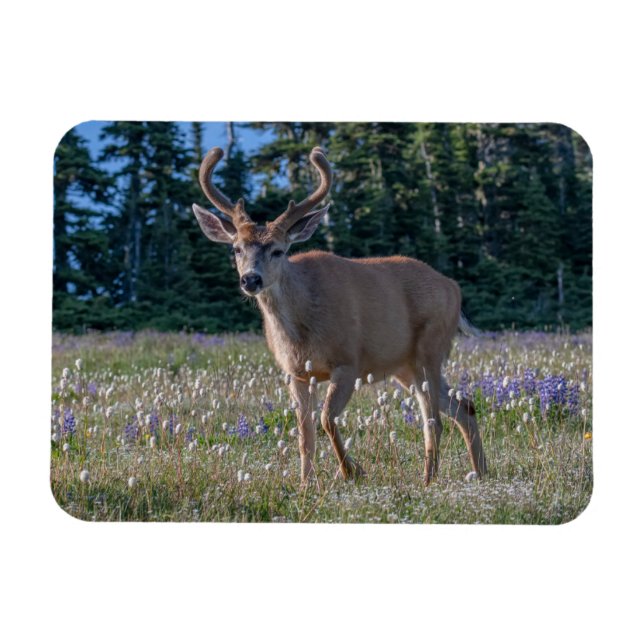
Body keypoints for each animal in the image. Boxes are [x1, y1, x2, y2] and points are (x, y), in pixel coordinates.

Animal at [192, 146, 487, 486]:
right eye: (237, 249)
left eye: (278, 250)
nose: (250, 279)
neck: (301, 328)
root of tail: (453, 287)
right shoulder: (296, 373)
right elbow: (305, 434)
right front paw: (306, 483)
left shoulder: (348, 362)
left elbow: (326, 419)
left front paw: (351, 471)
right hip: (405, 366)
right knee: (464, 406)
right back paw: (481, 471)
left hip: (429, 347)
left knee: (434, 420)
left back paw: (428, 480)